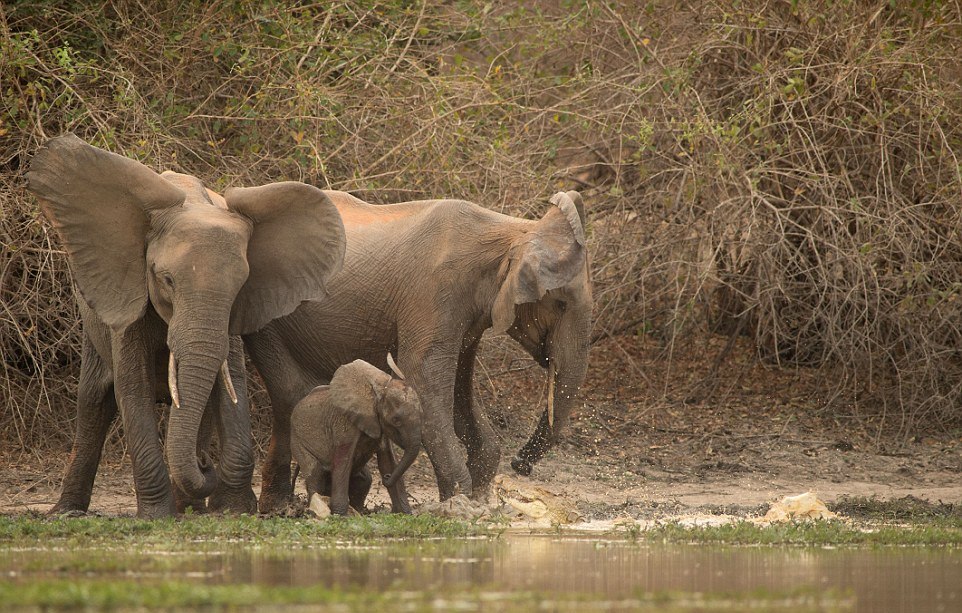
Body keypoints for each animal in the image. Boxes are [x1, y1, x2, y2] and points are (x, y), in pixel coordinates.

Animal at [25, 134, 348, 516]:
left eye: (240, 286)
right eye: (166, 279)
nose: (206, 463)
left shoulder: (231, 316)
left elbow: (230, 382)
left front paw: (232, 509)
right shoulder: (128, 294)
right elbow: (131, 387)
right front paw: (157, 516)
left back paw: (189, 506)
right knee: (94, 400)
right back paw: (68, 511)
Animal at [290, 356, 422, 512]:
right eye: (396, 420)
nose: (386, 478)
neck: (378, 391)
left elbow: (387, 461)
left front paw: (405, 513)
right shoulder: (344, 423)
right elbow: (343, 461)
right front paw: (340, 514)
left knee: (364, 480)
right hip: (297, 440)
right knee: (315, 474)